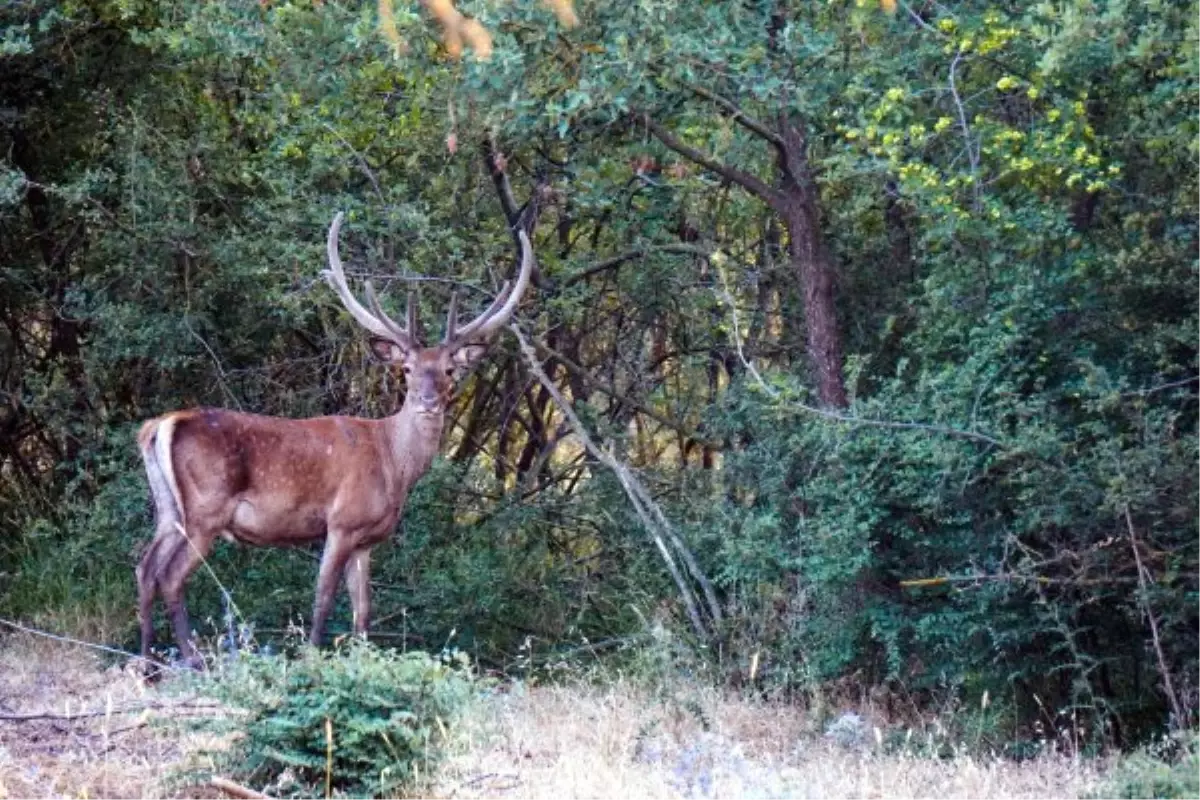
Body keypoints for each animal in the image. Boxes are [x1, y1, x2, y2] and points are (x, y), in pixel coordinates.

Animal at [131, 212, 535, 671]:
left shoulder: (367, 539)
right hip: (206, 508)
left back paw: (145, 662)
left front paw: (361, 660)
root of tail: (160, 425)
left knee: (145, 568)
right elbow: (323, 597)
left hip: (168, 508)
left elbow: (364, 610)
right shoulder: (341, 522)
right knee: (170, 575)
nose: (429, 401)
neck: (394, 464)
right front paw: (310, 658)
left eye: (450, 370)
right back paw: (191, 660)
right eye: (408, 369)